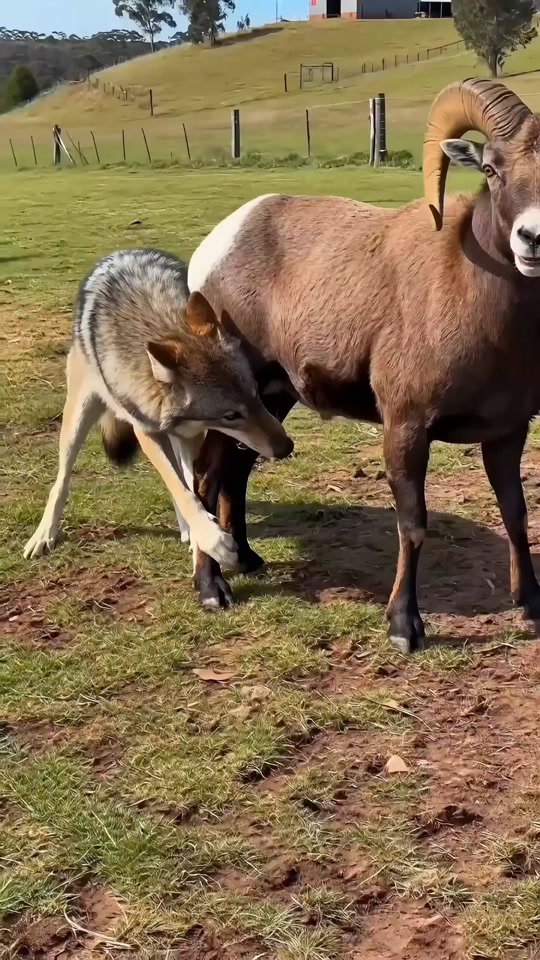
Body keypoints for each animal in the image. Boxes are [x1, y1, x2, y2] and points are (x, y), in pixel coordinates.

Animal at [187, 78, 540, 653]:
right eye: (491, 167)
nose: (533, 240)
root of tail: (214, 250)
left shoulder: (508, 432)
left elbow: (516, 513)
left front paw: (530, 605)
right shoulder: (406, 428)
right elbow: (413, 524)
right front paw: (404, 628)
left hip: (270, 402)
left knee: (234, 475)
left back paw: (248, 562)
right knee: (205, 478)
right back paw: (212, 589)